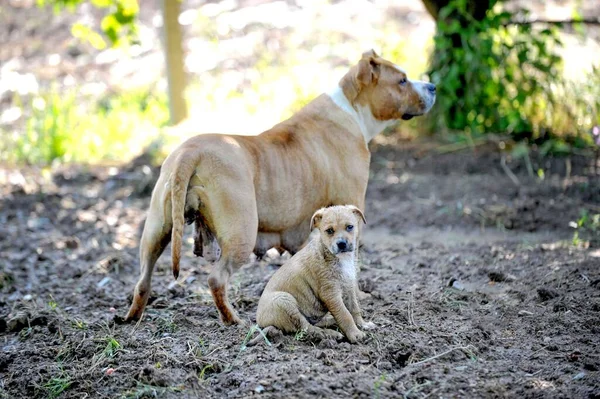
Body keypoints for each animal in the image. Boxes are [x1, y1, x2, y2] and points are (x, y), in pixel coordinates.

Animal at [124, 49, 434, 324]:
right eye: (402, 80)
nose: (431, 86)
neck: (351, 108)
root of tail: (191, 152)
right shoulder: (351, 204)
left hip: (156, 230)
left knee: (143, 279)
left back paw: (132, 317)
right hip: (240, 234)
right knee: (216, 279)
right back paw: (233, 320)